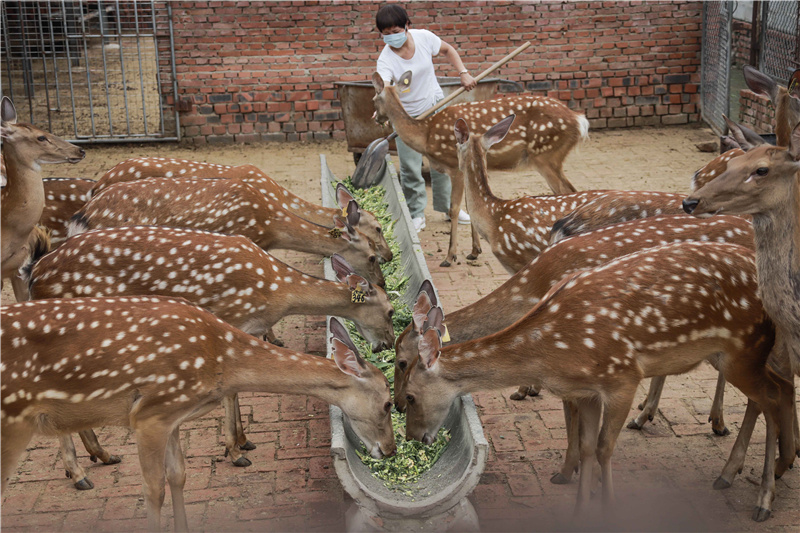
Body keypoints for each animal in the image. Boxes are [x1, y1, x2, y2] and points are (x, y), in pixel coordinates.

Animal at [1, 298, 396, 528]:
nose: (390, 450)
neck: (220, 360)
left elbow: (178, 476)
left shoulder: (172, 416)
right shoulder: (149, 414)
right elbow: (153, 489)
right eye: (389, 402)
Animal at [25, 224, 396, 482]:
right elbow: (233, 391)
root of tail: (35, 274)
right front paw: (235, 450)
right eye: (391, 311)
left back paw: (101, 455)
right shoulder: (231, 319)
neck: (278, 291)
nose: (388, 344)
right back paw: (79, 473)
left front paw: (243, 442)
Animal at [370, 70, 588, 266]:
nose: (375, 118)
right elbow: (470, 205)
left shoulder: (454, 167)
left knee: (567, 190)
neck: (426, 136)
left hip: (547, 156)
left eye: (373, 98)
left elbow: (454, 208)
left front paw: (450, 256)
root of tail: (580, 121)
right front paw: (475, 251)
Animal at [404, 243, 796, 520]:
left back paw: (765, 497)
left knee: (775, 395)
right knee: (772, 392)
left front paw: (607, 508)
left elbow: (607, 447)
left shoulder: (622, 376)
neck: (553, 351)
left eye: (408, 395)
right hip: (739, 355)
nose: (412, 438)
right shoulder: (588, 391)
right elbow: (588, 446)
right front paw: (580, 510)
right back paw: (737, 474)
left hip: (745, 348)